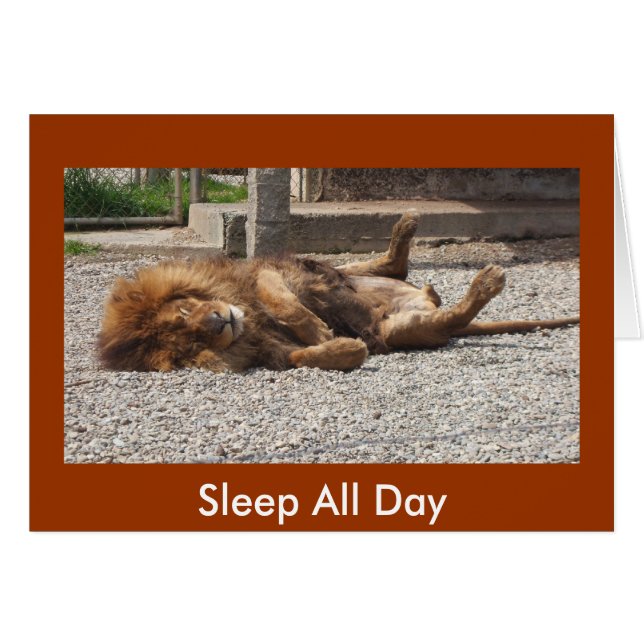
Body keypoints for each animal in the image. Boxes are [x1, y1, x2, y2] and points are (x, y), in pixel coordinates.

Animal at [98, 213, 579, 373]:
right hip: (402, 329)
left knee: (389, 266)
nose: (218, 321)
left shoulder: (264, 273)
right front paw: (340, 345)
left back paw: (407, 225)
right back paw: (484, 283)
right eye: (189, 341)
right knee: (451, 316)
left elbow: (285, 304)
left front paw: (318, 330)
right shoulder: (269, 351)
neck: (245, 318)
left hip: (336, 270)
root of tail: (421, 298)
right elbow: (305, 356)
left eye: (184, 312)